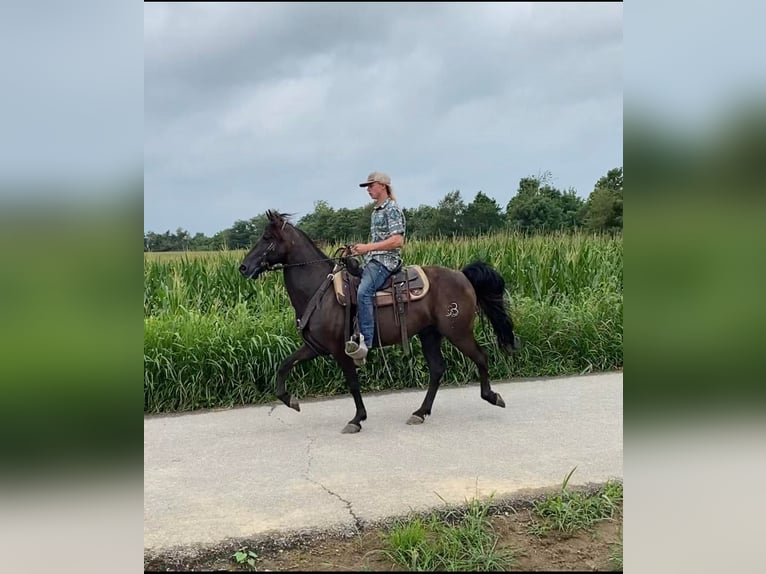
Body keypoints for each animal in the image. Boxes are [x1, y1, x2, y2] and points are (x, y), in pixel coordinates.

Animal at [240, 214, 520, 434]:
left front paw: (356, 419)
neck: (320, 291)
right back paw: (420, 412)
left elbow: (353, 383)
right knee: (437, 369)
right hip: (430, 334)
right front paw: (291, 401)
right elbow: (284, 366)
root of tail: (462, 275)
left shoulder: (341, 349)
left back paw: (492, 396)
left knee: (480, 357)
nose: (243, 267)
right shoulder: (315, 347)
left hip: (458, 331)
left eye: (266, 237)